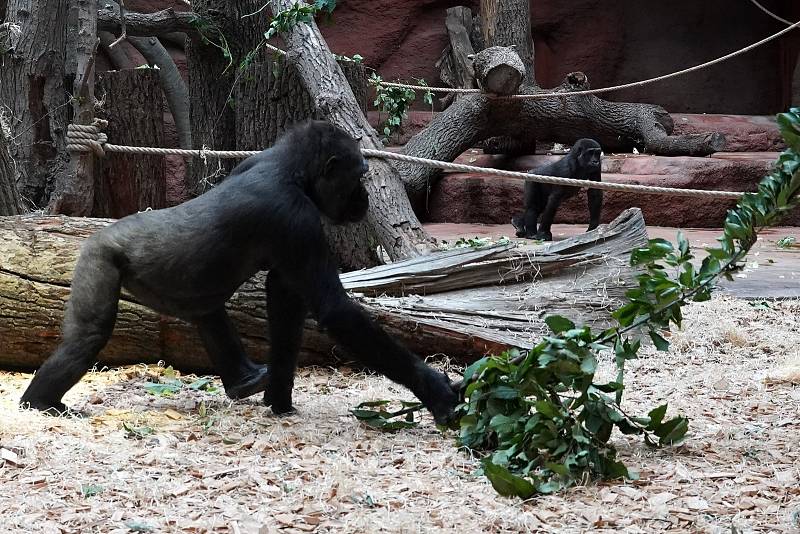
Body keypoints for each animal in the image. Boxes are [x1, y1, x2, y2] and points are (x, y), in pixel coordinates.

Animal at [20, 120, 456, 428]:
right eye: (359, 177)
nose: (364, 197)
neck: (290, 169)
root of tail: (100, 233)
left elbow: (284, 296)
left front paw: (279, 396)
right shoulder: (298, 218)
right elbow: (334, 310)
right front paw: (435, 389)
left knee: (207, 312)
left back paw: (245, 380)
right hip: (101, 259)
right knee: (89, 336)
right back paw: (38, 402)